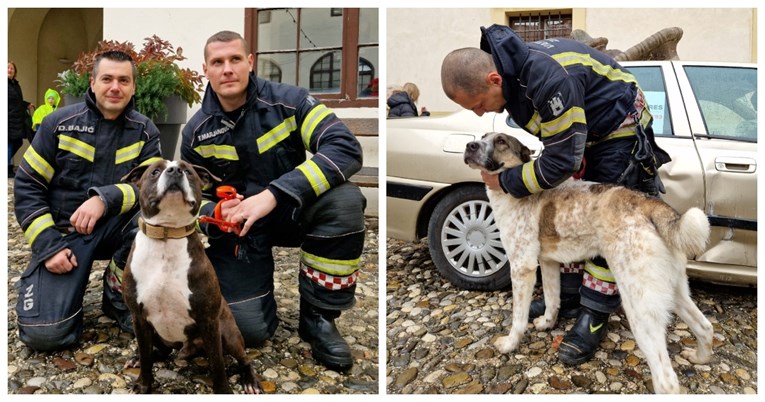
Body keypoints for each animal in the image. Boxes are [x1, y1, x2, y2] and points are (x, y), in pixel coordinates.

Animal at [121, 159, 260, 394]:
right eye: (155, 172)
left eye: (188, 171)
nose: (174, 170)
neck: (167, 236)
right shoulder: (139, 317)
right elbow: (146, 356)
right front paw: (143, 384)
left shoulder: (209, 321)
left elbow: (217, 363)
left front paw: (223, 391)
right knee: (156, 352)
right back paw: (136, 358)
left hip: (229, 334)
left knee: (244, 359)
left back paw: (250, 380)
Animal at [462, 132, 712, 392]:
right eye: (482, 137)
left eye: (501, 141)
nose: (469, 145)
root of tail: (649, 204)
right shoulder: (548, 262)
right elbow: (553, 299)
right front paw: (547, 323)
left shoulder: (522, 267)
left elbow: (518, 318)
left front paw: (510, 343)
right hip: (674, 290)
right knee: (706, 327)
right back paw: (699, 357)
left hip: (639, 306)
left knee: (667, 379)